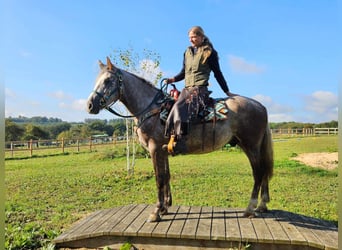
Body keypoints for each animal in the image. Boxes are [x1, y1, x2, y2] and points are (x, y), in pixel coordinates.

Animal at [87, 57, 274, 223]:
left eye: (108, 80)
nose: (90, 105)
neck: (153, 110)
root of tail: (260, 106)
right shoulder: (163, 151)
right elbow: (166, 176)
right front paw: (165, 207)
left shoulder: (155, 149)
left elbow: (159, 179)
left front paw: (156, 212)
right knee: (264, 171)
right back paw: (262, 205)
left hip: (251, 146)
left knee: (258, 172)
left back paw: (250, 208)